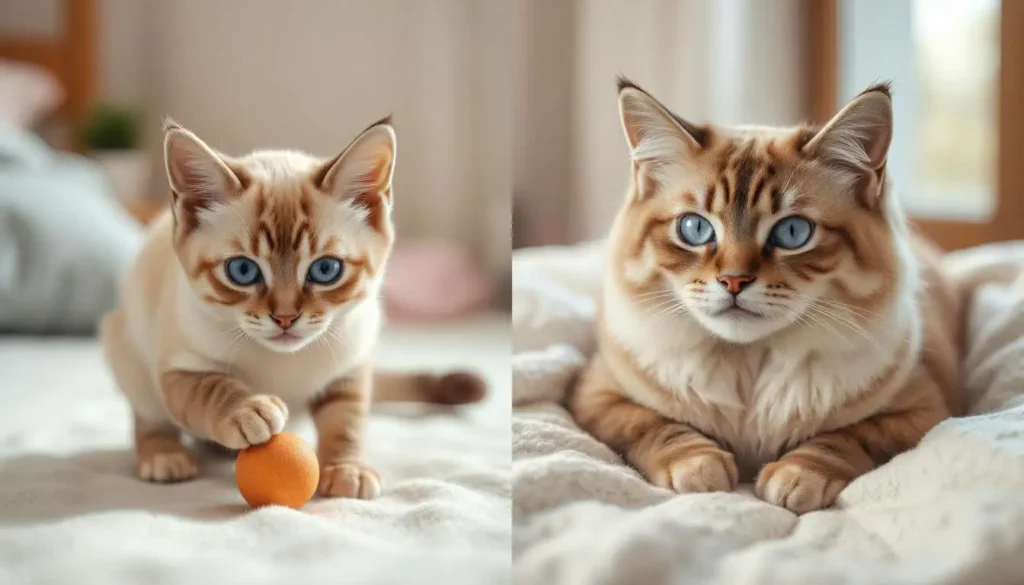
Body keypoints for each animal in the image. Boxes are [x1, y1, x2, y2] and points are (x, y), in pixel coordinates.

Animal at [101, 116, 485, 495]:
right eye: (242, 271)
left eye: (326, 269)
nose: (285, 317)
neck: (286, 362)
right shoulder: (181, 365)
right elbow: (214, 389)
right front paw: (246, 410)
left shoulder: (351, 362)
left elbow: (345, 420)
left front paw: (347, 467)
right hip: (128, 350)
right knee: (148, 415)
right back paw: (164, 454)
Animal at [573, 78, 962, 512]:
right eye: (695, 229)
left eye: (792, 233)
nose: (733, 281)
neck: (749, 362)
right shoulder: (599, 397)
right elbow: (657, 425)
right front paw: (701, 468)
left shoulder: (923, 411)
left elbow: (842, 437)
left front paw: (797, 477)